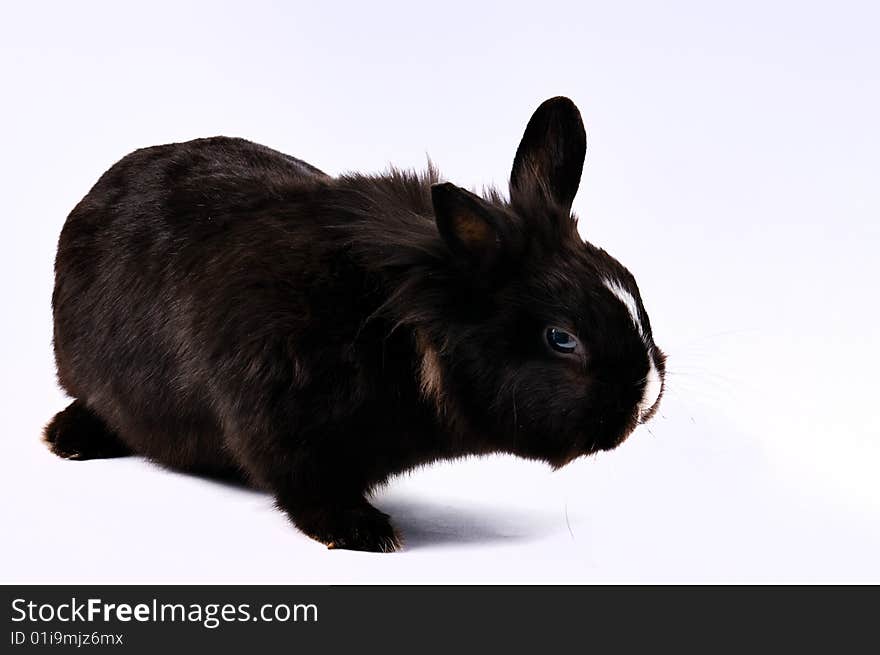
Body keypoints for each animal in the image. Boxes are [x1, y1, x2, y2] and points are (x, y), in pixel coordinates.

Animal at [44, 95, 664, 552]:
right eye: (562, 338)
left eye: (632, 287)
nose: (648, 396)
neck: (403, 323)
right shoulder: (283, 425)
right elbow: (308, 488)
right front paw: (365, 533)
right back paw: (68, 440)